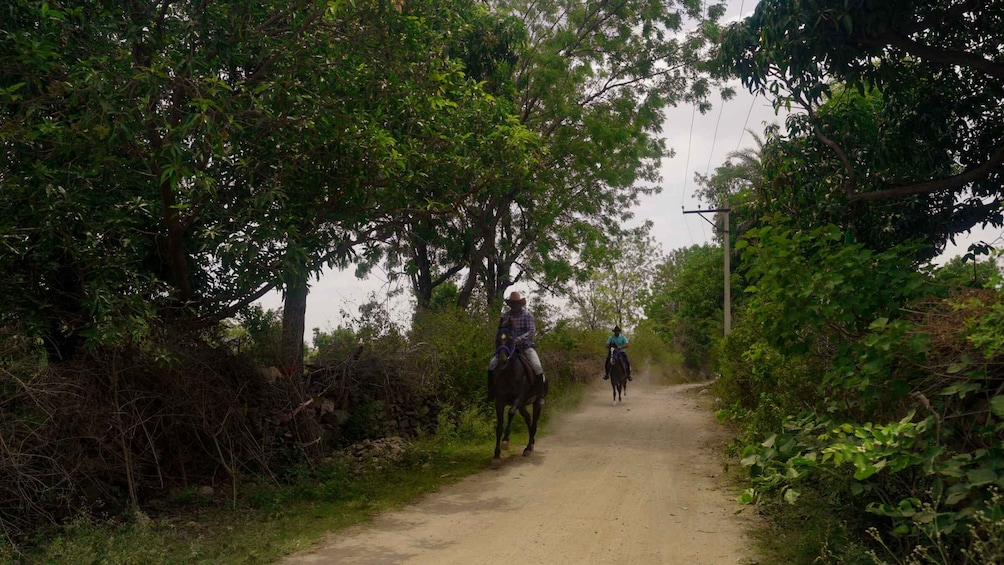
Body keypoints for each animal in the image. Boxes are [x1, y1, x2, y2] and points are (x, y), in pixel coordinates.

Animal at [489, 319, 546, 463]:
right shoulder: (500, 401)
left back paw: (529, 447)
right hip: (522, 406)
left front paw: (505, 441)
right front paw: (496, 454)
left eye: (510, 338)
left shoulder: (518, 398)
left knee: (534, 422)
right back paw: (530, 444)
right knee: (528, 420)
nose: (502, 359)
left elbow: (510, 412)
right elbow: (499, 425)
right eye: (497, 338)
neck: (509, 372)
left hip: (537, 402)